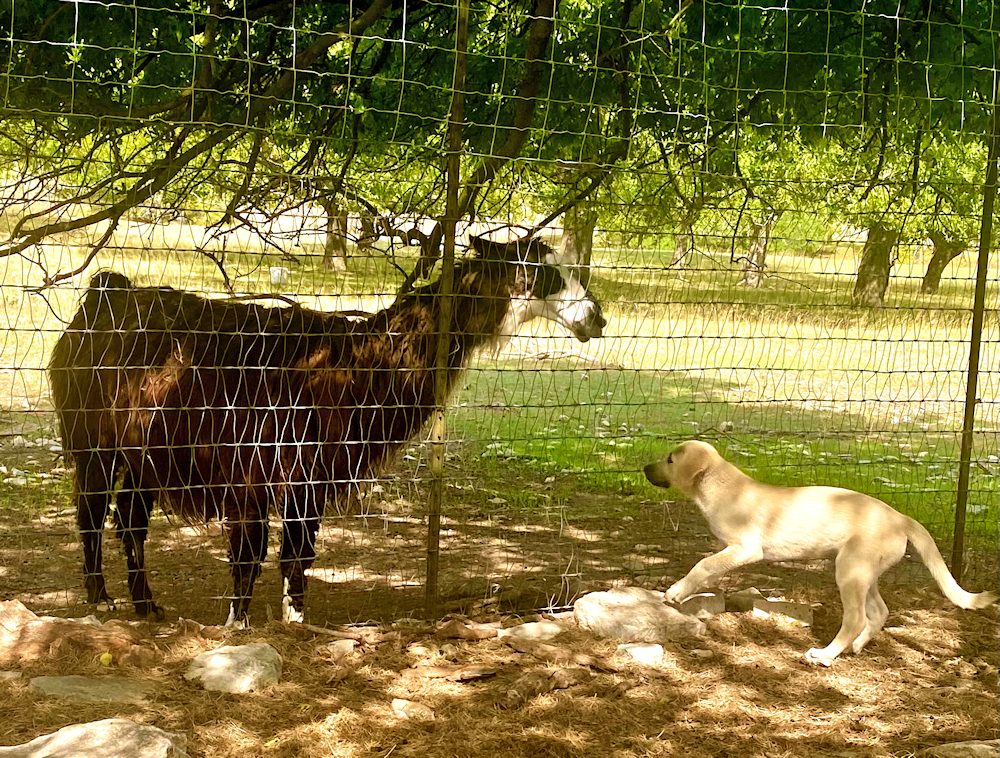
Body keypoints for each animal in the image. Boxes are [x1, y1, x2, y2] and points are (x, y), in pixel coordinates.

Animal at [644, 440, 996, 664]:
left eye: (671, 460)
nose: (645, 467)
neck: (719, 485)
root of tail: (901, 517)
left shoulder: (746, 548)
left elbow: (703, 566)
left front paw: (675, 591)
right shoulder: (728, 549)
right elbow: (710, 569)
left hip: (850, 570)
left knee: (856, 617)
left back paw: (826, 654)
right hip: (865, 572)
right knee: (880, 612)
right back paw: (855, 646)